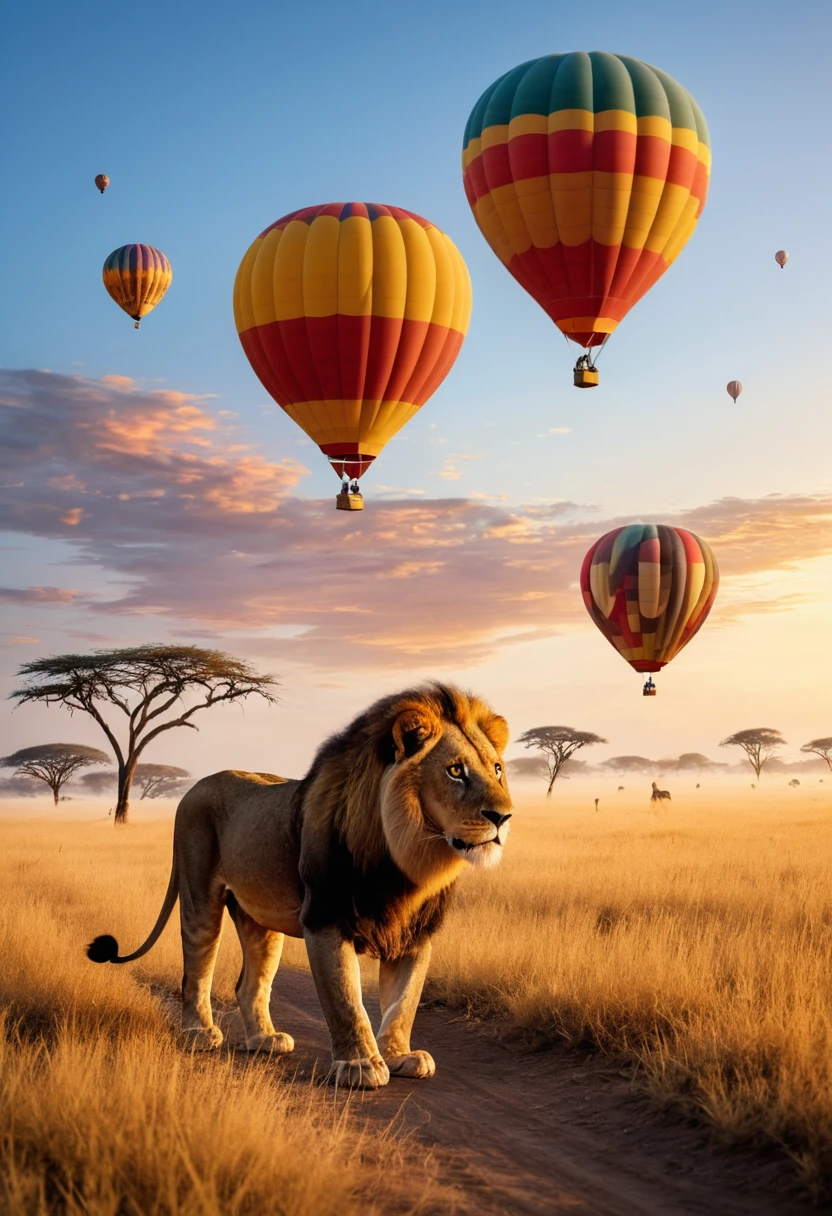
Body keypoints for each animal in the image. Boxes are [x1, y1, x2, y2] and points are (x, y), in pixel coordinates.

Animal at [87, 683, 512, 1089]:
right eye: (455, 771)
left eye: (496, 769)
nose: (503, 816)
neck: (407, 862)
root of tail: (194, 788)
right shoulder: (325, 918)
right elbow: (346, 1000)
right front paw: (360, 1065)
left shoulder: (415, 932)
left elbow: (403, 1003)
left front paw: (398, 1055)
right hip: (199, 891)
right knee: (196, 968)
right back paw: (199, 1034)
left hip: (260, 918)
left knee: (249, 984)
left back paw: (264, 1040)